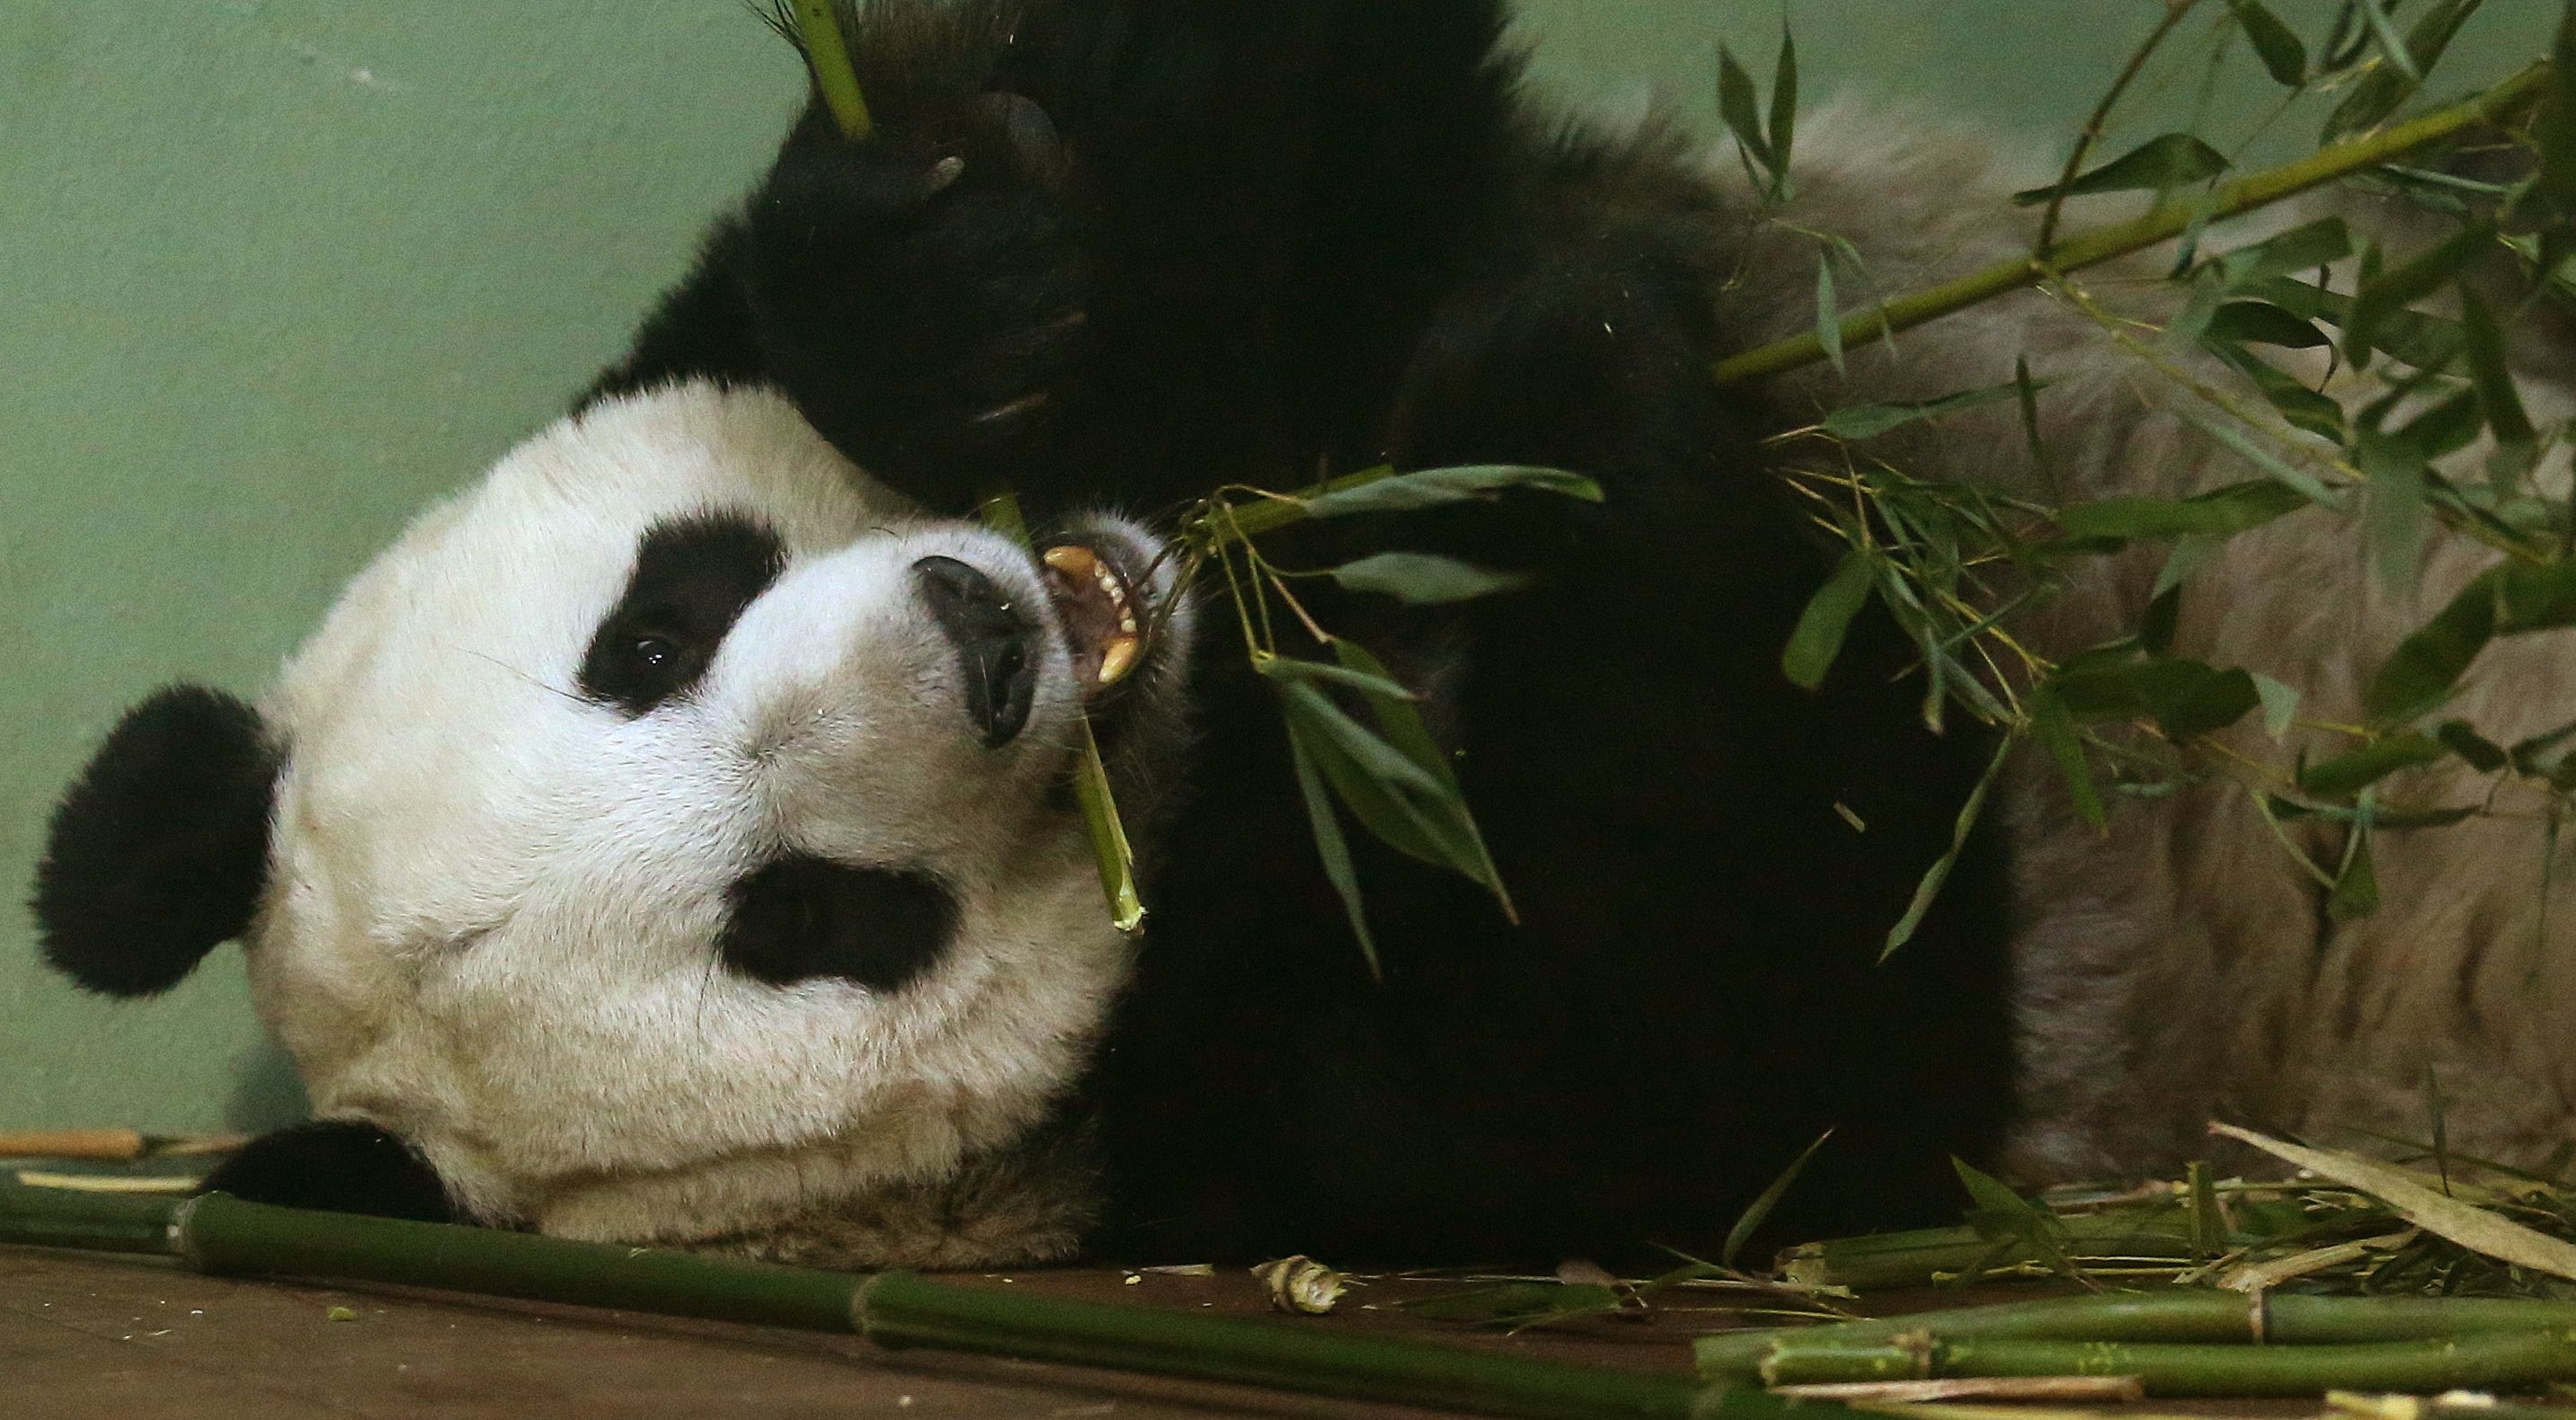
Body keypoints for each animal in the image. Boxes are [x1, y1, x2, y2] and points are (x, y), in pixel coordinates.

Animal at [24, 0, 2576, 1267]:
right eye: (808, 927)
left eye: (656, 624)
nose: (975, 632)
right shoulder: (1291, 1124)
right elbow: (1764, 1023)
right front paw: (1555, 399)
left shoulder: (1274, 299)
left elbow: (1225, 129)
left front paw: (916, 286)